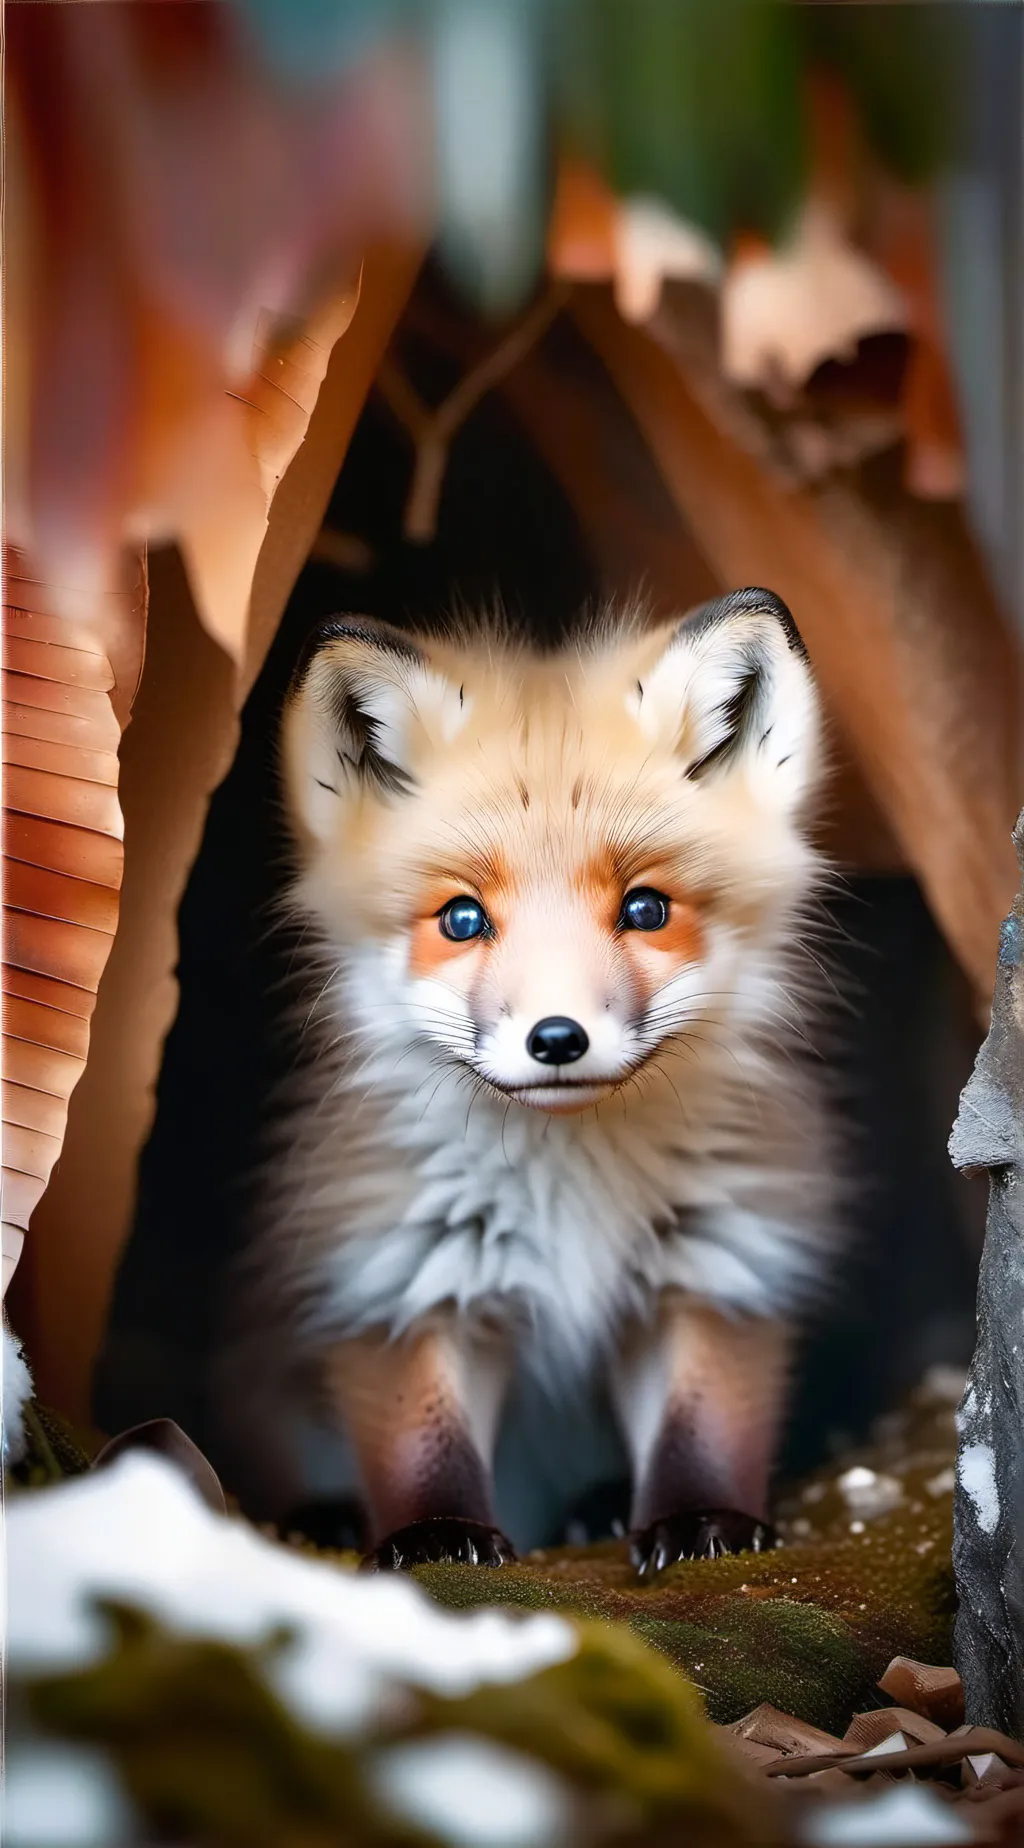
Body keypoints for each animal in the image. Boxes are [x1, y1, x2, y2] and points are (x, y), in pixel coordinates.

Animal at [212, 589, 836, 1574]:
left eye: (646, 908)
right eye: (463, 919)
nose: (557, 1039)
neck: (569, 1192)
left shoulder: (716, 1263)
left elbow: (700, 1428)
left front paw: (702, 1523)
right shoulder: (400, 1279)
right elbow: (423, 1447)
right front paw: (436, 1541)